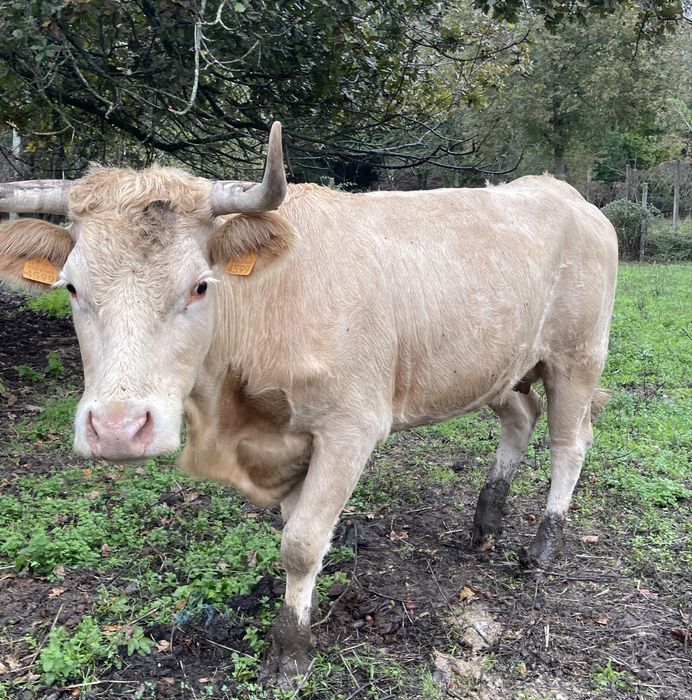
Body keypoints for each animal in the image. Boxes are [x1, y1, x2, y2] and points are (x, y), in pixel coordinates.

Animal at [0, 123, 618, 683]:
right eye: (72, 287)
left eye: (200, 285)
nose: (118, 428)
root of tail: (564, 193)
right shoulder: (285, 438)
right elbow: (292, 529)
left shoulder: (350, 428)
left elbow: (301, 543)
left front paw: (291, 651)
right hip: (500, 367)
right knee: (521, 418)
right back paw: (486, 522)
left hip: (577, 356)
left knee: (568, 444)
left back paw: (542, 547)